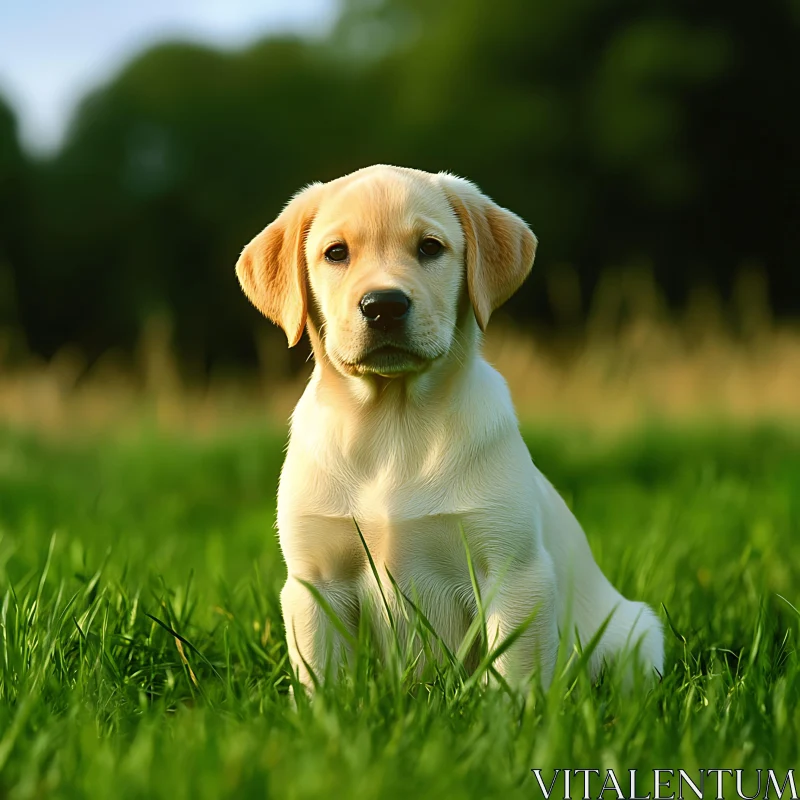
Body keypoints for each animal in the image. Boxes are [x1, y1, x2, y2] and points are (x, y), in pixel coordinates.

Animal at [236, 164, 664, 692]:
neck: (393, 424)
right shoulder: (315, 583)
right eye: (336, 252)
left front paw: (507, 712)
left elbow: (511, 673)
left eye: (429, 247)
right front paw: (324, 713)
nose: (383, 305)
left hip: (635, 634)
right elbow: (323, 680)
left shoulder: (513, 573)